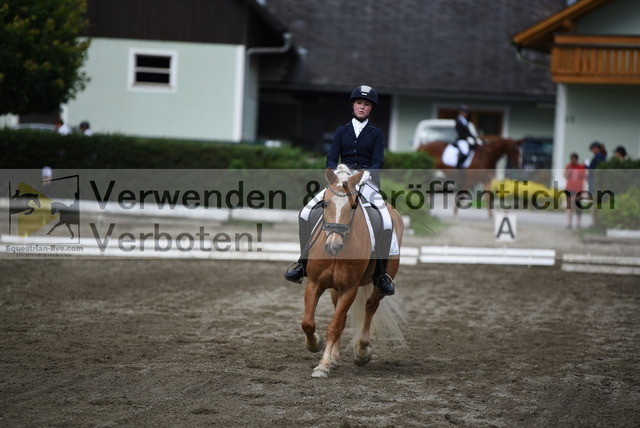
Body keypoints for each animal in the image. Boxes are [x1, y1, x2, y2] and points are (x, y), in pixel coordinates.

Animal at [301, 165, 406, 378]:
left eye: (352, 207)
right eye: (325, 204)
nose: (333, 246)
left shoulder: (350, 288)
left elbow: (334, 327)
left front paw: (322, 366)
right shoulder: (314, 283)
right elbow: (308, 322)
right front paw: (315, 345)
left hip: (379, 284)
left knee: (370, 306)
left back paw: (362, 352)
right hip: (335, 289)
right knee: (340, 314)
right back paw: (335, 357)